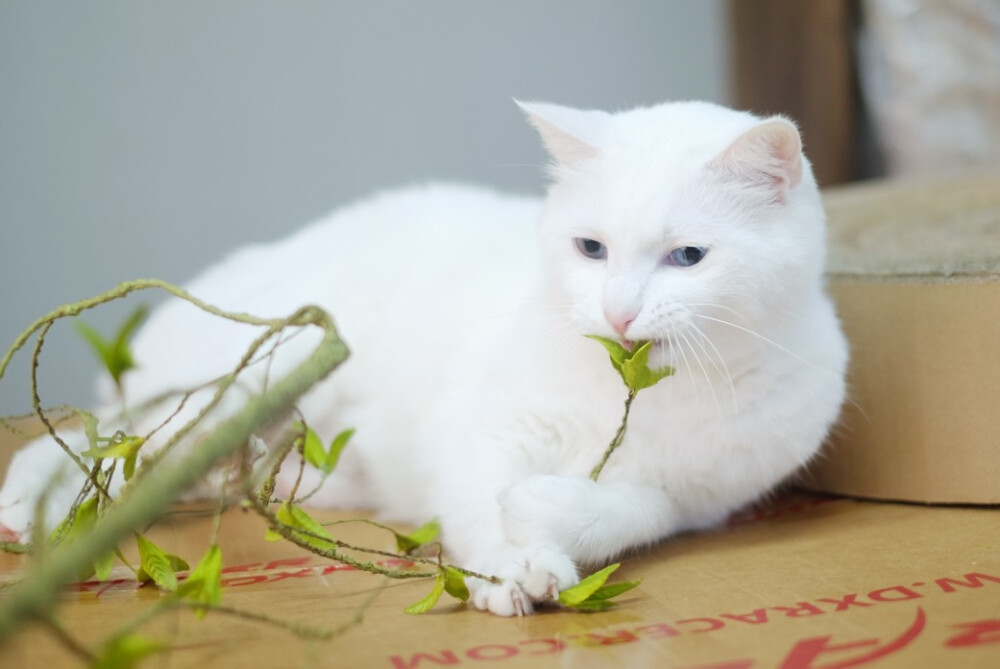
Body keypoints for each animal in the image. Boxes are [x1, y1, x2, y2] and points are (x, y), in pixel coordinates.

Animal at [0, 100, 848, 616]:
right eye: (592, 248)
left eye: (688, 257)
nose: (618, 311)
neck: (646, 390)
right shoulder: (475, 429)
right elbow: (477, 500)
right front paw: (506, 567)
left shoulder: (693, 501)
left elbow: (620, 510)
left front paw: (543, 517)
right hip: (251, 381)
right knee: (87, 442)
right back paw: (33, 509)